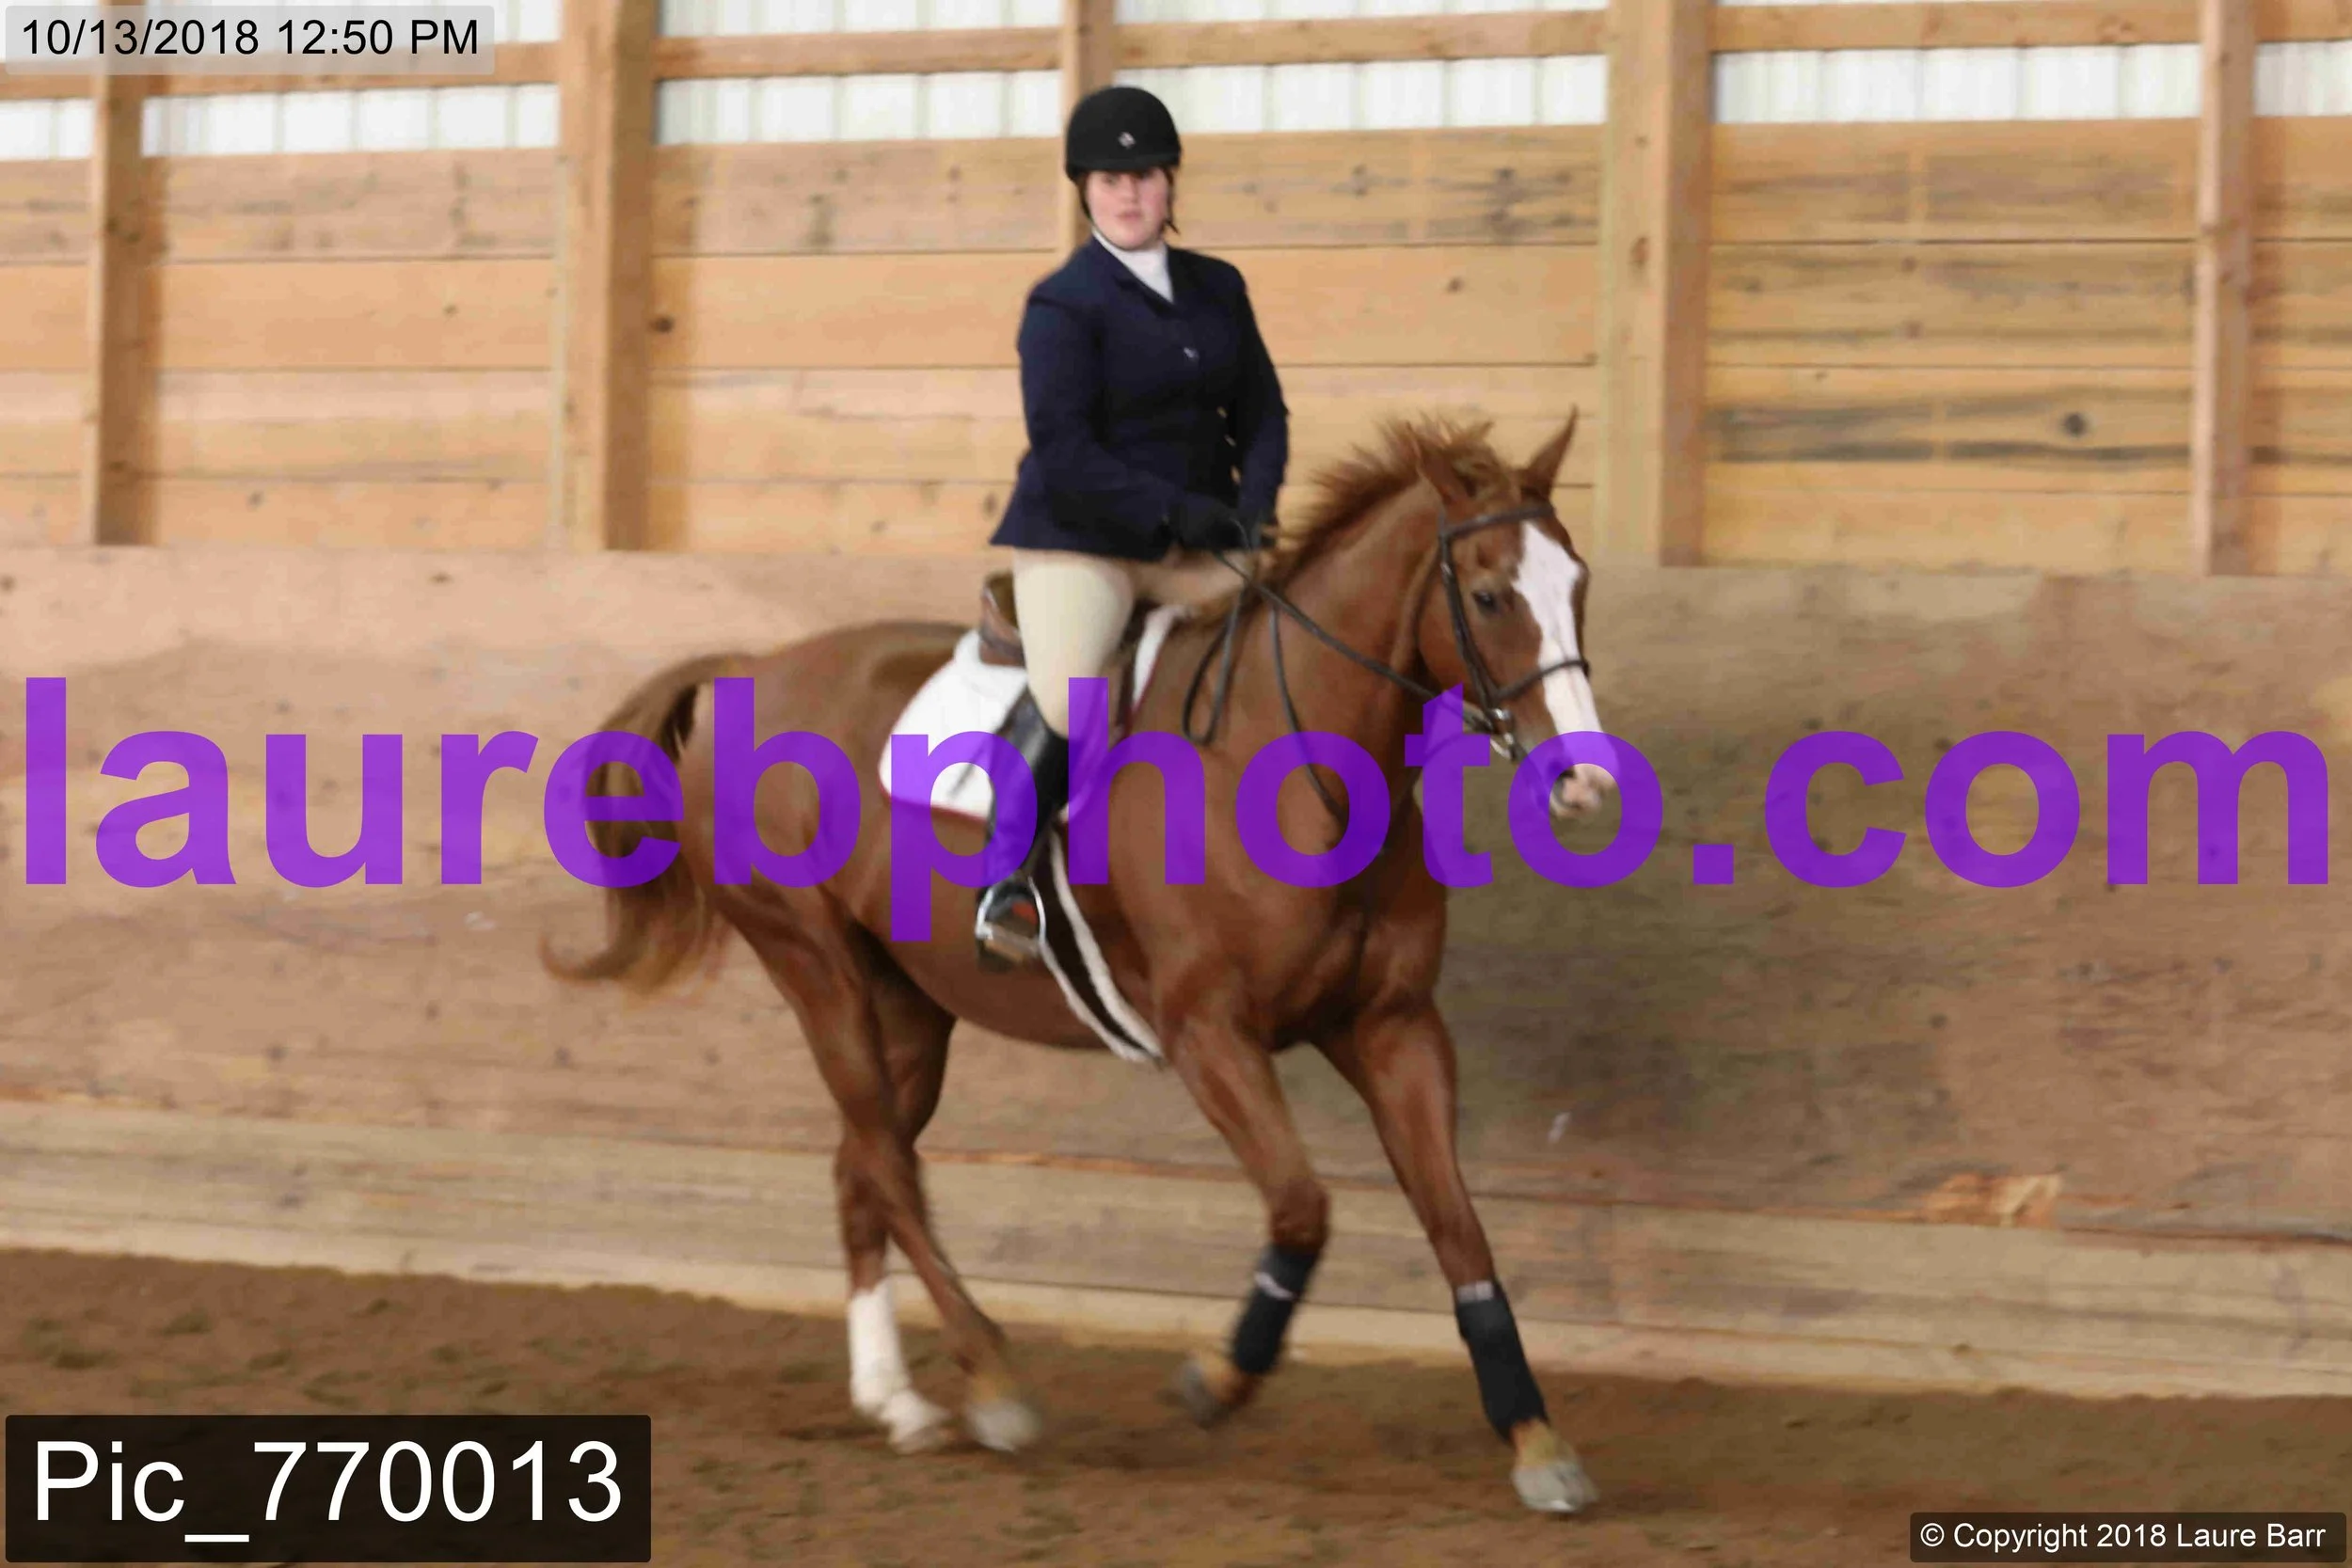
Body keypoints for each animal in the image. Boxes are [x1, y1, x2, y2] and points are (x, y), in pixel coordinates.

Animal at [541, 411, 1616, 1515]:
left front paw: (1537, 1440)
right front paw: (1218, 1377)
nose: (1584, 778)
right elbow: (1302, 1207)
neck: (1300, 764)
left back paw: (898, 1402)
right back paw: (993, 1381)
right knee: (886, 1162)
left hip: (906, 1001)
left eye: (1576, 581)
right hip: (815, 967)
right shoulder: (1208, 1030)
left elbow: (1460, 1229)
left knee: (861, 1164)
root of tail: (749, 671)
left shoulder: (1392, 1025)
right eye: (1488, 595)